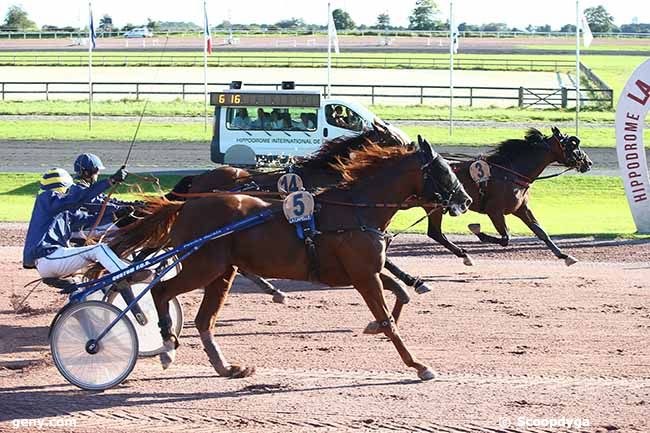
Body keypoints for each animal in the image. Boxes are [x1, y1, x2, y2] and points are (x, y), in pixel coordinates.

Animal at [109, 139, 468, 378]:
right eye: (444, 170)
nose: (464, 199)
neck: (356, 210)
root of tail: (187, 203)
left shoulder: (365, 272)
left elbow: (401, 295)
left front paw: (374, 326)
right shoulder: (364, 276)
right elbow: (390, 320)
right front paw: (418, 365)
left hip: (222, 271)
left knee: (204, 319)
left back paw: (225, 366)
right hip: (203, 265)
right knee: (161, 291)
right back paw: (167, 346)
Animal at [426, 125, 592, 264]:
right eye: (573, 145)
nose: (588, 162)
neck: (510, 173)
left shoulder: (521, 209)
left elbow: (540, 231)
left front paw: (564, 255)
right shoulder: (494, 211)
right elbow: (506, 237)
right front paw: (478, 231)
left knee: (435, 233)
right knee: (436, 233)